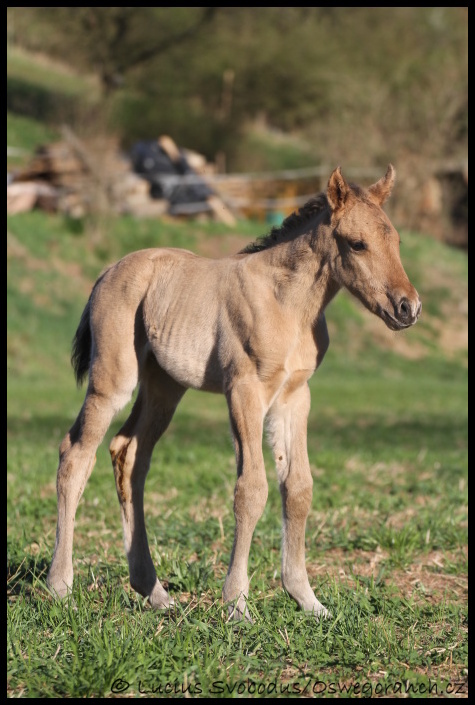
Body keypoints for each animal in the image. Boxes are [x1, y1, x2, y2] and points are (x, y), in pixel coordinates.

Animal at [47, 165, 420, 616]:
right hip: (113, 379)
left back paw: (155, 592)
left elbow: (299, 488)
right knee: (75, 455)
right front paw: (237, 603)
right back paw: (60, 586)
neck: (287, 305)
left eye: (396, 241)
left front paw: (307, 599)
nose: (408, 307)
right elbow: (252, 489)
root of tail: (106, 272)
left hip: (164, 387)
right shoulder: (244, 391)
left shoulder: (295, 397)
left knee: (129, 454)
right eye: (358, 243)